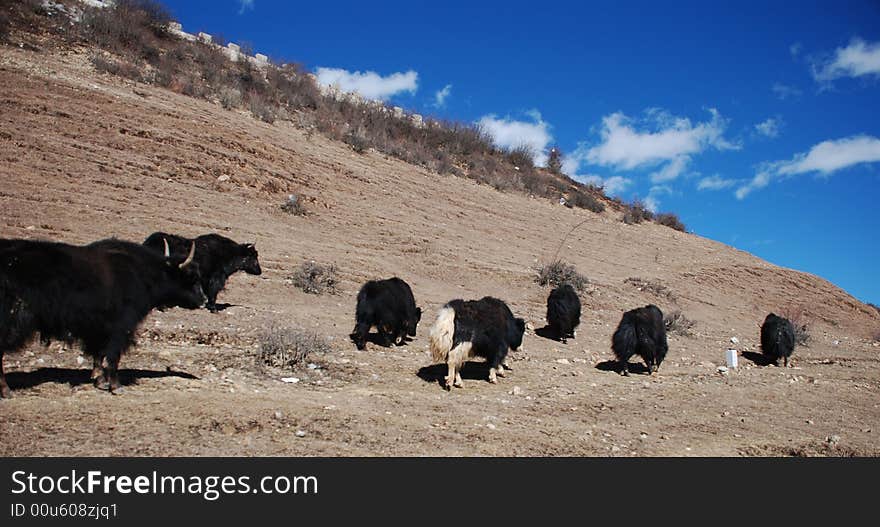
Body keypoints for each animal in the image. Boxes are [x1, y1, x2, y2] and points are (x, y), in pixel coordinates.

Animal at [0, 238, 205, 396]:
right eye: (192, 277)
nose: (204, 300)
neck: (143, 274)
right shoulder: (121, 326)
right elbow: (113, 356)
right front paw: (116, 386)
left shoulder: (98, 328)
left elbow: (98, 354)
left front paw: (99, 380)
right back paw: (6, 391)